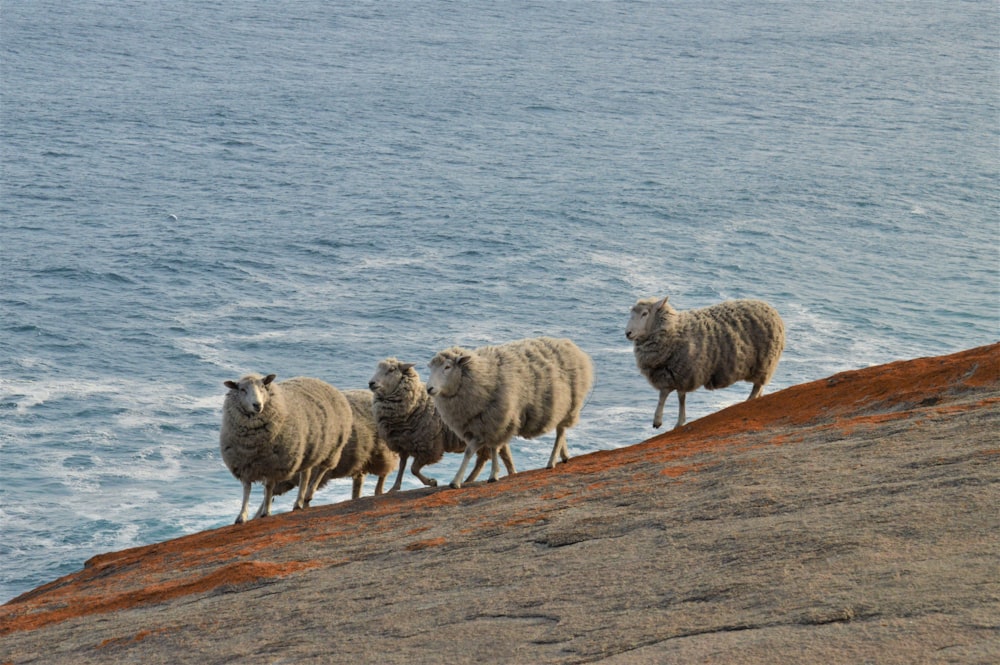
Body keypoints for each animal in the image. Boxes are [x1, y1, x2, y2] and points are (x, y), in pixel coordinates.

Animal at [221, 374, 354, 524]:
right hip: (308, 450)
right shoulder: (243, 464)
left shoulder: (274, 464)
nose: (257, 405)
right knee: (306, 474)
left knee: (322, 469)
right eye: (242, 390)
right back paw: (299, 502)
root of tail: (319, 380)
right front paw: (242, 516)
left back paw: (308, 494)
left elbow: (268, 487)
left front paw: (266, 512)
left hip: (333, 447)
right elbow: (246, 489)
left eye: (263, 387)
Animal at [274, 390, 402, 504]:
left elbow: (308, 485)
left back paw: (378, 491)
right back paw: (356, 496)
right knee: (360, 479)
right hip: (362, 459)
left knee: (384, 473)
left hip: (381, 453)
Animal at [370, 356, 516, 490]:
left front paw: (431, 482)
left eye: (391, 369)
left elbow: (414, 469)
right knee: (488, 456)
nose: (371, 383)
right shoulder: (403, 443)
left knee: (499, 453)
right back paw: (472, 478)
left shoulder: (429, 447)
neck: (417, 403)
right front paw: (395, 487)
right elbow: (402, 465)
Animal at [424, 338, 592, 488]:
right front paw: (490, 474)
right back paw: (564, 456)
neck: (484, 375)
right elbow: (485, 450)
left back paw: (551, 461)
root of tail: (569, 344)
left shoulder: (497, 421)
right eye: (431, 368)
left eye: (447, 367)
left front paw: (471, 478)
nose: (429, 389)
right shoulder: (483, 425)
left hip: (570, 405)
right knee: (561, 431)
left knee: (560, 432)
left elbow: (480, 450)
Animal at [624, 294, 788, 428]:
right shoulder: (669, 373)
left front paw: (673, 421)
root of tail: (770, 308)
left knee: (757, 386)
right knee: (759, 386)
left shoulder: (684, 372)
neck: (674, 330)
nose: (628, 333)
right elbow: (667, 395)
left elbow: (677, 397)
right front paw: (662, 420)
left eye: (645, 314)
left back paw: (749, 400)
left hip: (765, 362)